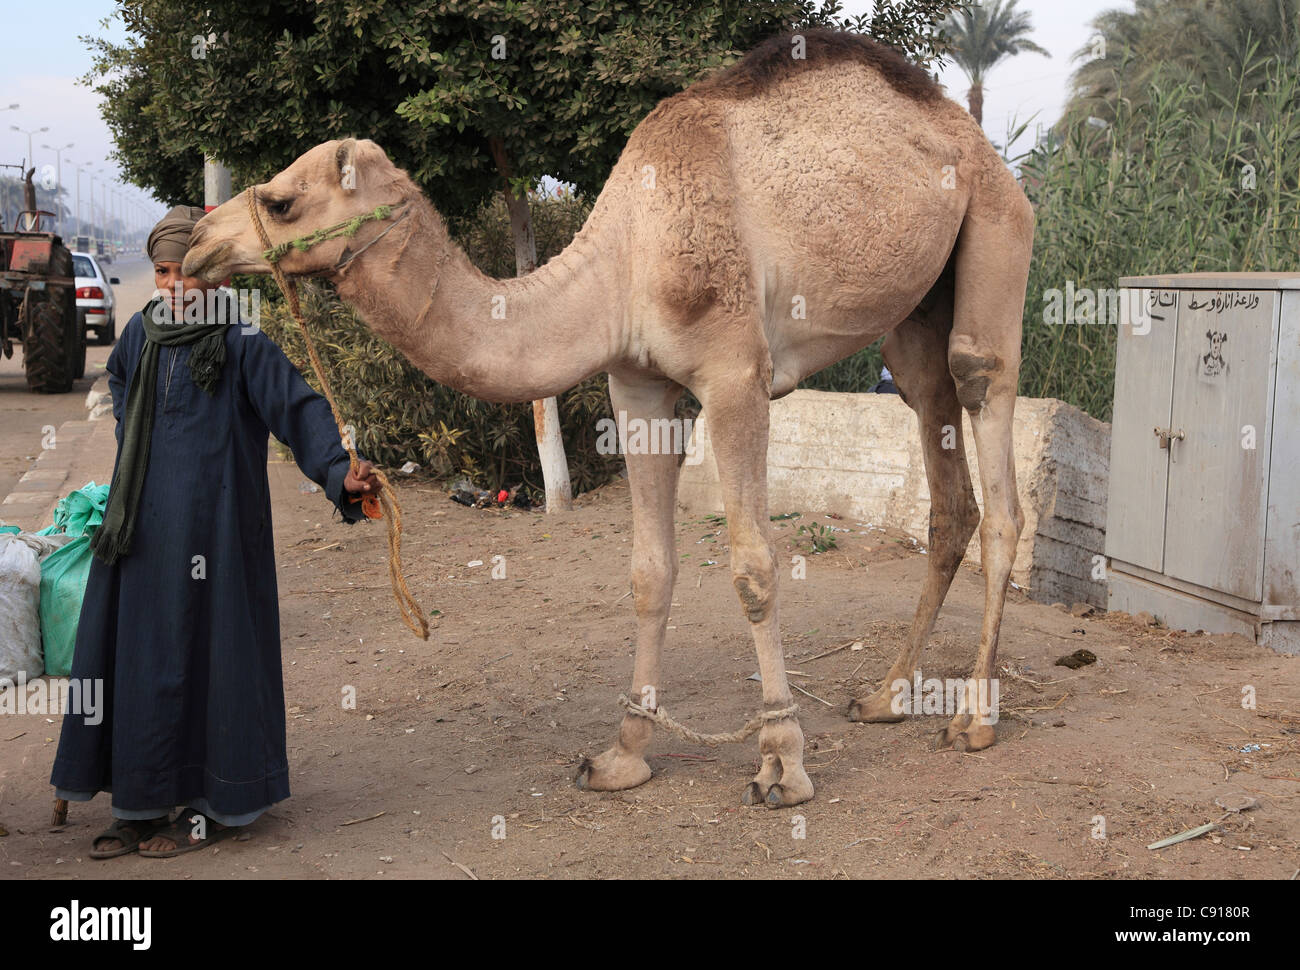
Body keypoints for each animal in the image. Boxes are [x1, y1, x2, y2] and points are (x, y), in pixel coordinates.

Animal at [186, 29, 1034, 809]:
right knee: (941, 462)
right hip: (914, 311)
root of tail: (971, 139)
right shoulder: (636, 385)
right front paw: (622, 754)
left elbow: (754, 568)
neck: (625, 260)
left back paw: (974, 720)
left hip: (996, 227)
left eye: (280, 201)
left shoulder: (736, 375)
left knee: (986, 414)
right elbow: (649, 573)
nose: (192, 245)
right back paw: (886, 697)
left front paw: (782, 763)